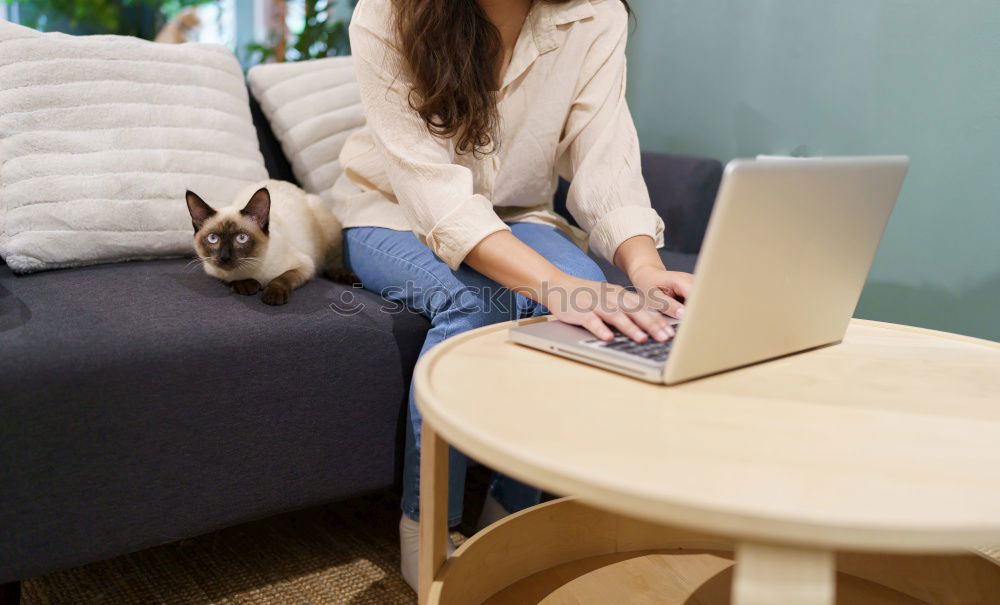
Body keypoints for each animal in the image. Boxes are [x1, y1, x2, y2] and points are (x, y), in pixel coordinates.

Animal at [186, 178, 354, 302]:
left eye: (241, 238)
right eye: (213, 238)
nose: (224, 257)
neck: (250, 270)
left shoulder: (305, 266)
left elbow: (282, 278)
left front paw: (272, 296)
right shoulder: (212, 270)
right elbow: (229, 279)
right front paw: (247, 286)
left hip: (328, 231)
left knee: (334, 263)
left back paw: (348, 277)